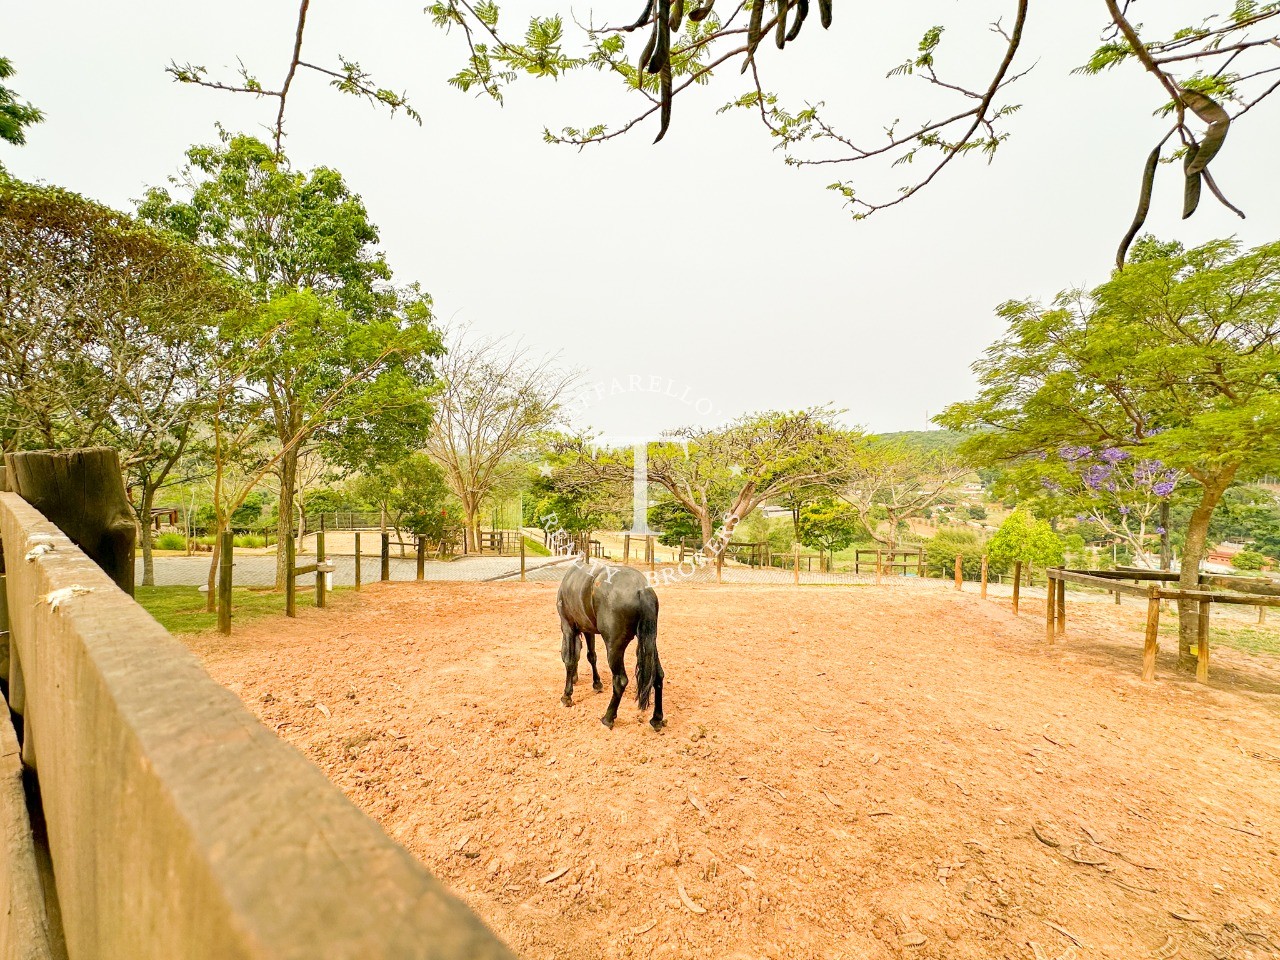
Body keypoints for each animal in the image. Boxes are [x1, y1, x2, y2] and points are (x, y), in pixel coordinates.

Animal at [555, 560, 665, 732]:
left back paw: (608, 717)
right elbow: (591, 655)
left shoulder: (568, 626)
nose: (575, 679)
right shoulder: (588, 630)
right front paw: (596, 683)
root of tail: (642, 589)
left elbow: (570, 659)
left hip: (614, 646)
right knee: (658, 675)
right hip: (650, 643)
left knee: (620, 681)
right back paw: (657, 719)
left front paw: (567, 695)